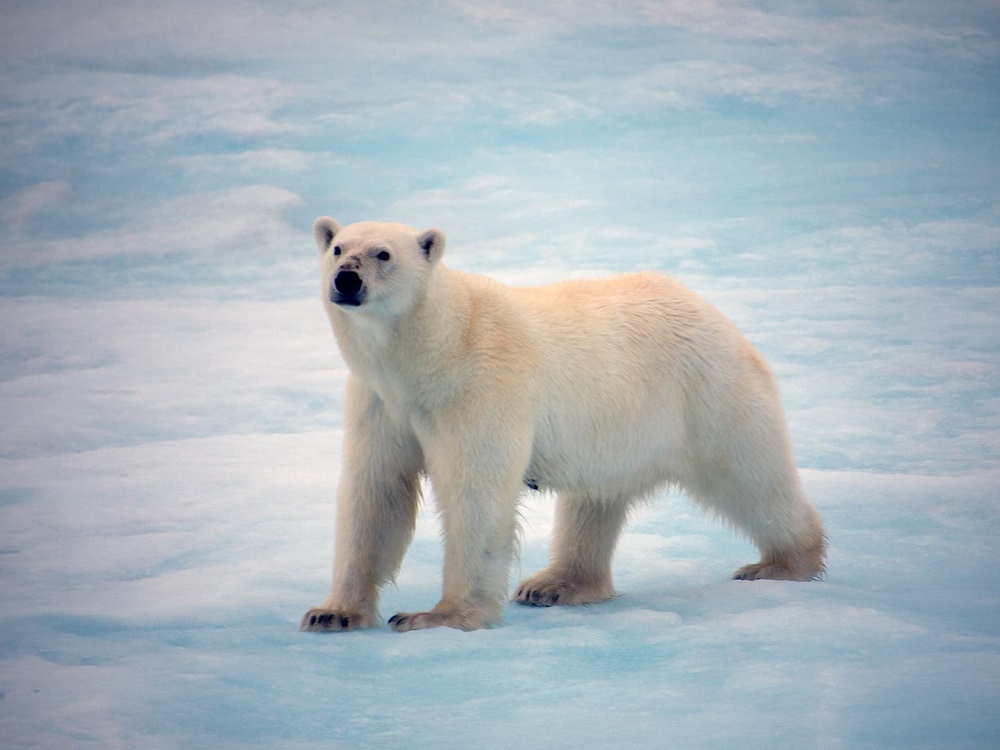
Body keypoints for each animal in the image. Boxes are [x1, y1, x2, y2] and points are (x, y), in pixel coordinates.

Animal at [301, 218, 826, 633]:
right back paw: (555, 584)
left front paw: (437, 616)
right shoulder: (381, 402)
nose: (346, 280)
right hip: (616, 429)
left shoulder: (478, 389)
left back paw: (781, 564)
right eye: (337, 248)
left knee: (750, 477)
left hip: (704, 396)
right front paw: (332, 613)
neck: (434, 350)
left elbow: (475, 493)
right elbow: (377, 492)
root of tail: (711, 310)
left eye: (383, 253)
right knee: (594, 503)